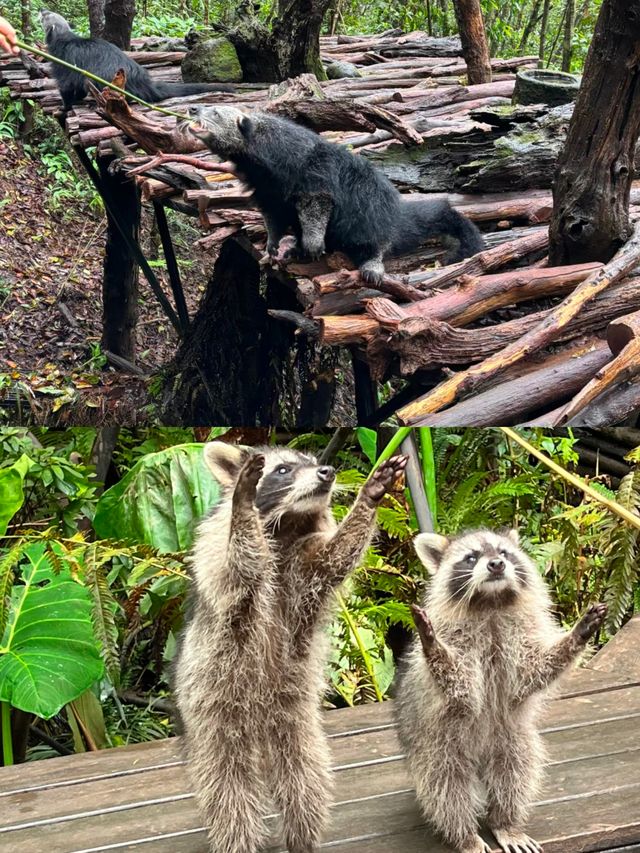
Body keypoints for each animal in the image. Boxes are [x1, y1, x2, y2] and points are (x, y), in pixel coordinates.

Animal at [174, 442, 404, 852]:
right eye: (283, 470)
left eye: (313, 463)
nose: (327, 472)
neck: (286, 524)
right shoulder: (219, 561)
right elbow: (239, 558)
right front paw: (243, 505)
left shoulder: (305, 562)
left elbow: (335, 557)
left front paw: (368, 499)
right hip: (212, 703)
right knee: (227, 787)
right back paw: (238, 838)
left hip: (293, 712)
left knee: (305, 774)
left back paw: (303, 836)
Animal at [398, 524, 608, 852]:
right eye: (471, 557)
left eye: (504, 553)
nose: (496, 564)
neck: (491, 604)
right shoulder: (460, 649)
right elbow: (459, 683)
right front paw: (432, 646)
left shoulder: (519, 639)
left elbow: (533, 671)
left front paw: (576, 635)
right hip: (439, 747)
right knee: (447, 788)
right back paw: (465, 835)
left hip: (512, 739)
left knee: (515, 774)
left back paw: (505, 822)